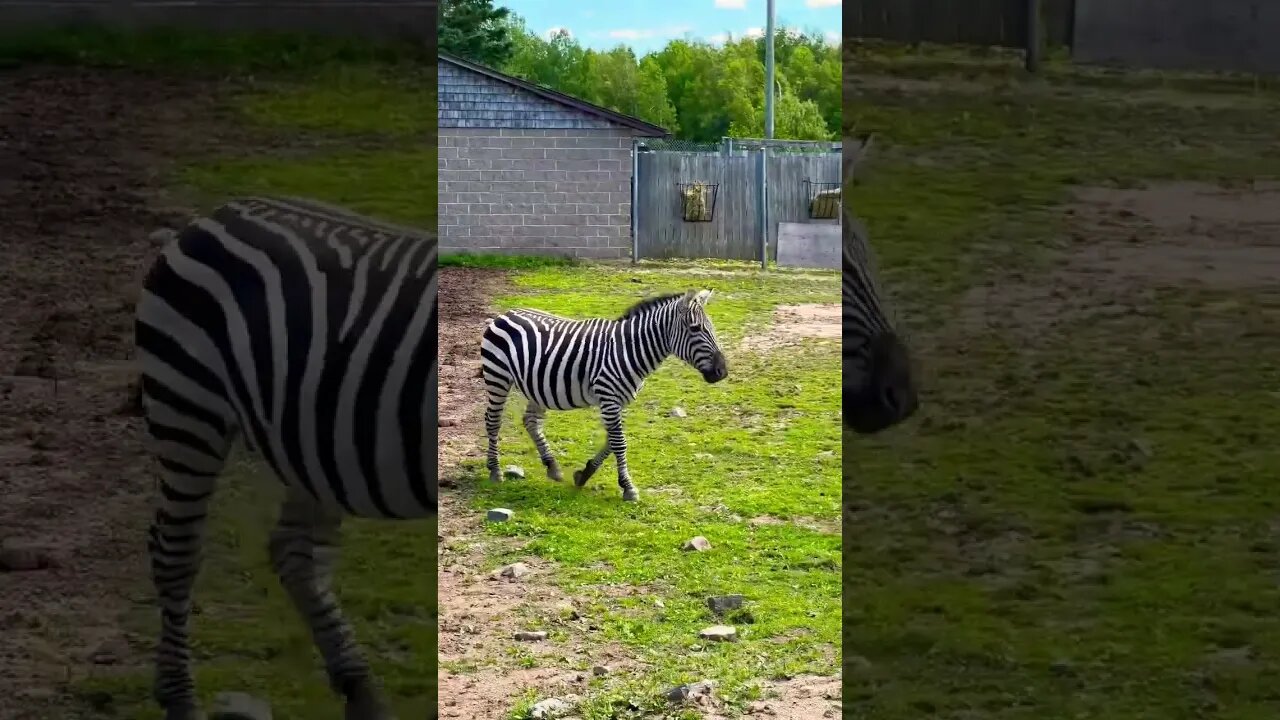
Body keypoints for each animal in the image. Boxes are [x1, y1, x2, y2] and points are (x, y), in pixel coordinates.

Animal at [134, 196, 436, 720]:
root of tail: (216, 213)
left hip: (315, 444)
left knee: (297, 553)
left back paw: (362, 693)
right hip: (188, 408)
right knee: (175, 551)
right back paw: (181, 700)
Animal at [479, 289, 728, 502]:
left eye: (711, 327)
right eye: (695, 328)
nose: (722, 372)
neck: (629, 349)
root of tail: (506, 313)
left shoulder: (621, 401)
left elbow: (612, 440)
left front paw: (585, 473)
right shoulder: (609, 398)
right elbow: (619, 442)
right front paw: (628, 487)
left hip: (536, 386)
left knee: (531, 422)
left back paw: (552, 466)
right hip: (498, 377)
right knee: (493, 421)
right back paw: (495, 470)